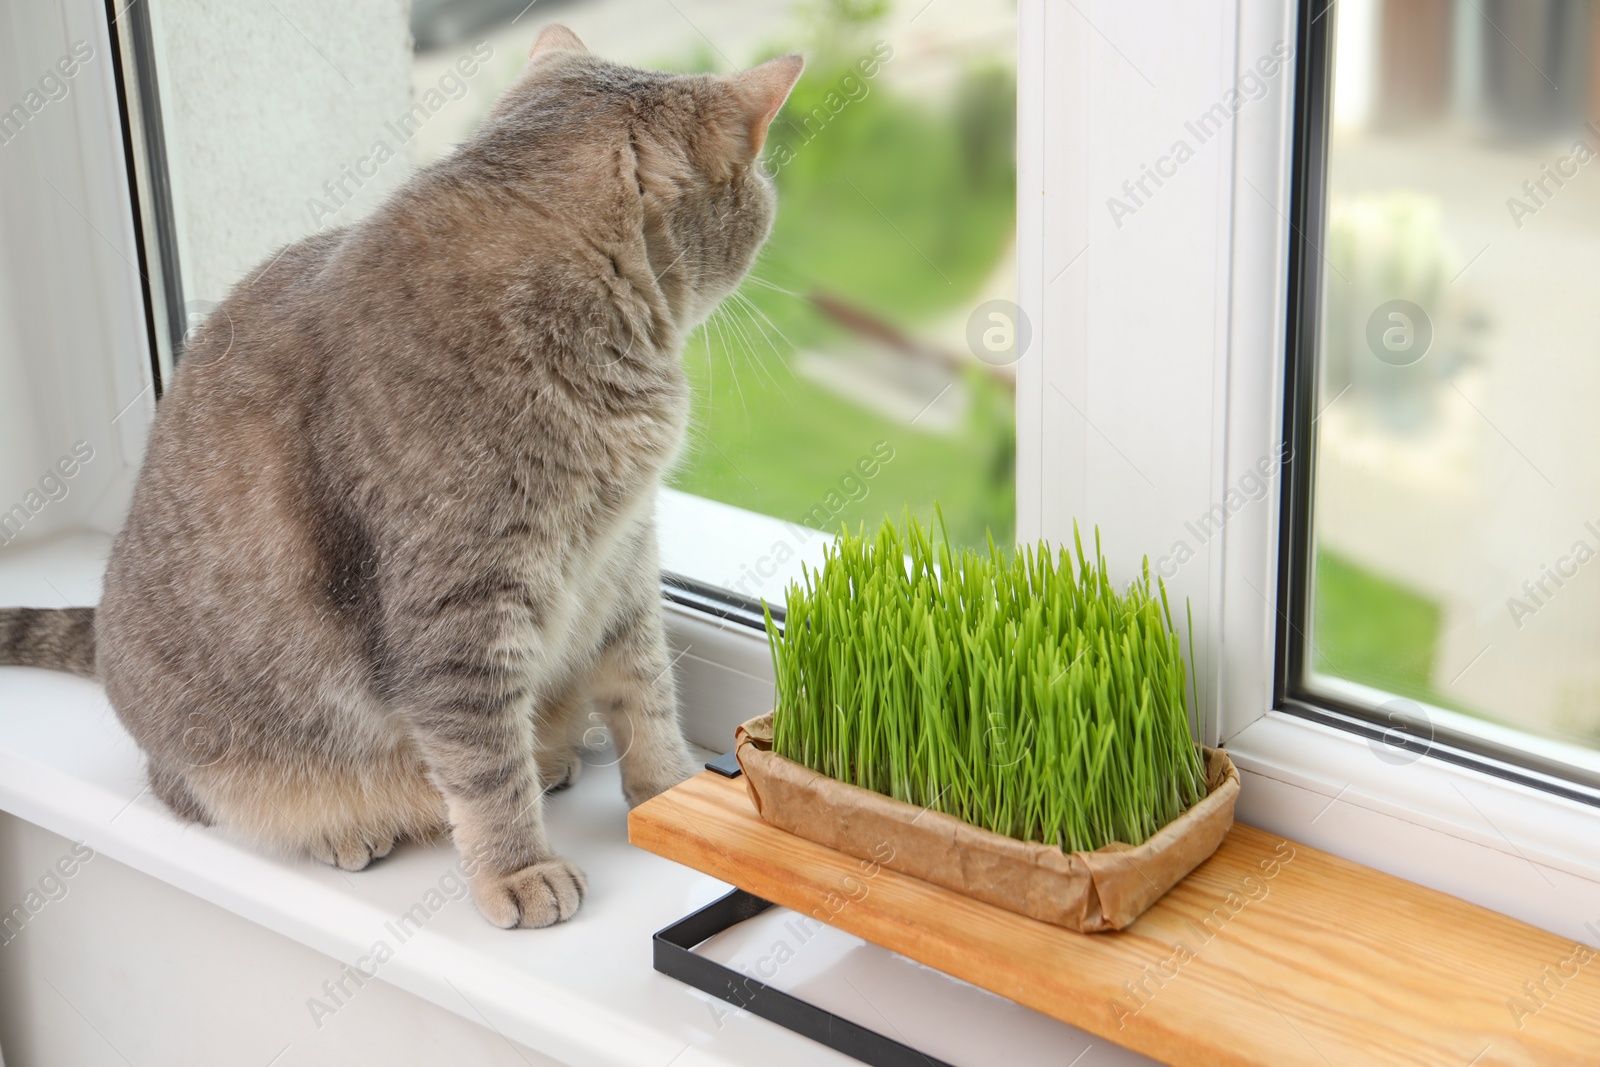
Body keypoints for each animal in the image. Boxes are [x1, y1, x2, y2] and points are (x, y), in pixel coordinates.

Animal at [0, 22, 800, 927]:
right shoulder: (461, 614)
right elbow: (485, 766)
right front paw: (519, 867)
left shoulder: (623, 561)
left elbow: (647, 691)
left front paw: (667, 792)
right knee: (198, 791)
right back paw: (347, 827)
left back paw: (553, 754)